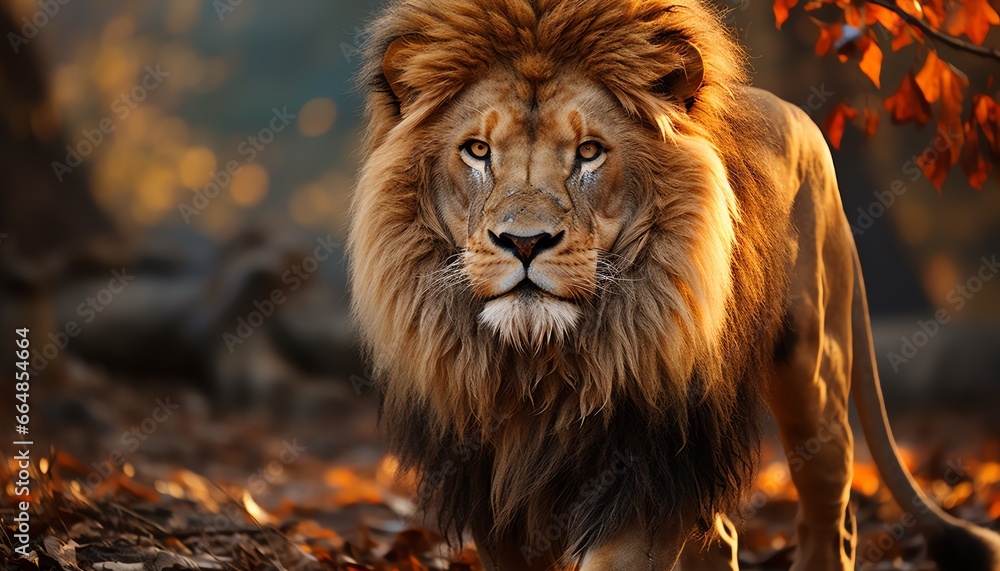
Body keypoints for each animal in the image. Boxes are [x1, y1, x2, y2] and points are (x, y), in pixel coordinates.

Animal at [348, 0, 1000, 569]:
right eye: (478, 151)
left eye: (590, 152)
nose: (525, 242)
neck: (542, 365)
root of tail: (799, 117)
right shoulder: (491, 491)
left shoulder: (643, 470)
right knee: (723, 537)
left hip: (811, 375)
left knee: (830, 519)